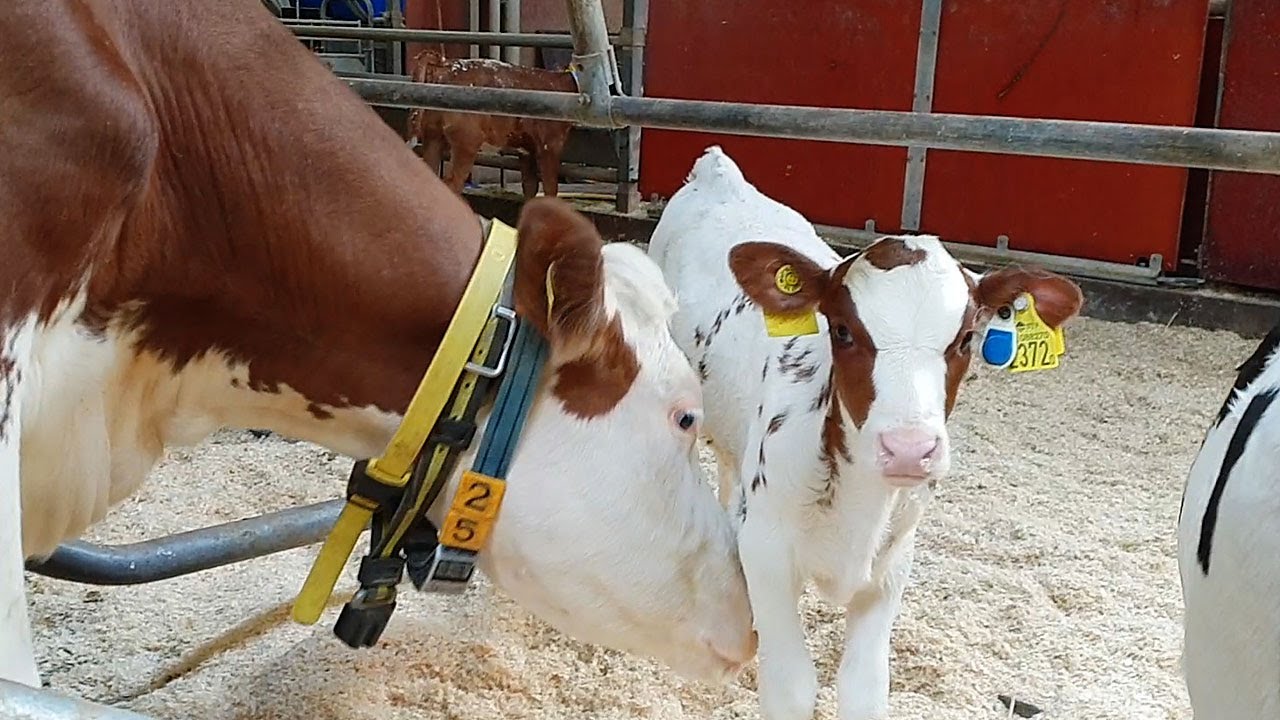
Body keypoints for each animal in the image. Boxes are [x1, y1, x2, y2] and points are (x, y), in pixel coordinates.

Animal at [406, 49, 578, 199]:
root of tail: (446, 64)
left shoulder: (527, 151)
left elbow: (530, 188)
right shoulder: (550, 144)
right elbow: (550, 189)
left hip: (432, 133)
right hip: (467, 139)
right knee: (452, 184)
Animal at [648, 146, 1084, 720]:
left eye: (967, 338)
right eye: (842, 330)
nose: (909, 449)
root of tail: (718, 170)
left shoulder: (891, 565)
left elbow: (865, 686)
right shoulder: (768, 551)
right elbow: (791, 687)